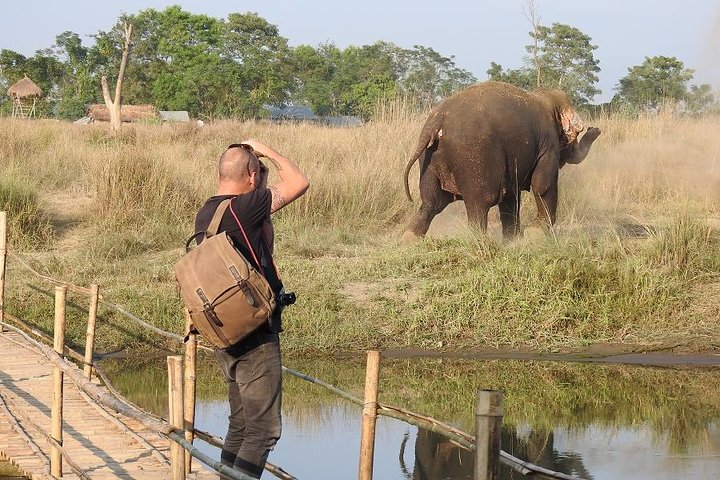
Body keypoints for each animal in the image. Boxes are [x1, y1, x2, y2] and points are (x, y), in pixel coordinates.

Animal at [402, 81, 601, 240]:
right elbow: (542, 185)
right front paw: (537, 234)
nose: (595, 128)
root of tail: (437, 121)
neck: (545, 96)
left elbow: (511, 195)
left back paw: (410, 238)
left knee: (432, 202)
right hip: (475, 157)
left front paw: (513, 240)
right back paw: (479, 240)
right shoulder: (548, 144)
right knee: (481, 202)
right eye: (576, 133)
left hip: (429, 159)